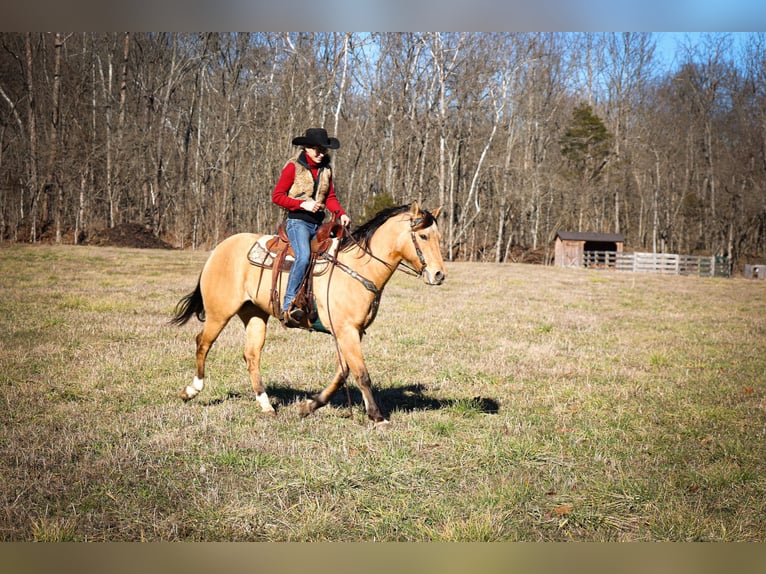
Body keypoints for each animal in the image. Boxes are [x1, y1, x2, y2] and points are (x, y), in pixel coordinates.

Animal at [171, 200, 448, 426]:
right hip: (220, 312)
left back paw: (266, 404)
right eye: (423, 236)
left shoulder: (350, 332)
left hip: (255, 314)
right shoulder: (347, 331)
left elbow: (342, 373)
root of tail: (220, 248)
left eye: (439, 237)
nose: (438, 275)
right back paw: (192, 390)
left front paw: (308, 406)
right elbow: (361, 374)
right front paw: (378, 417)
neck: (359, 267)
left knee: (251, 355)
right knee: (203, 343)